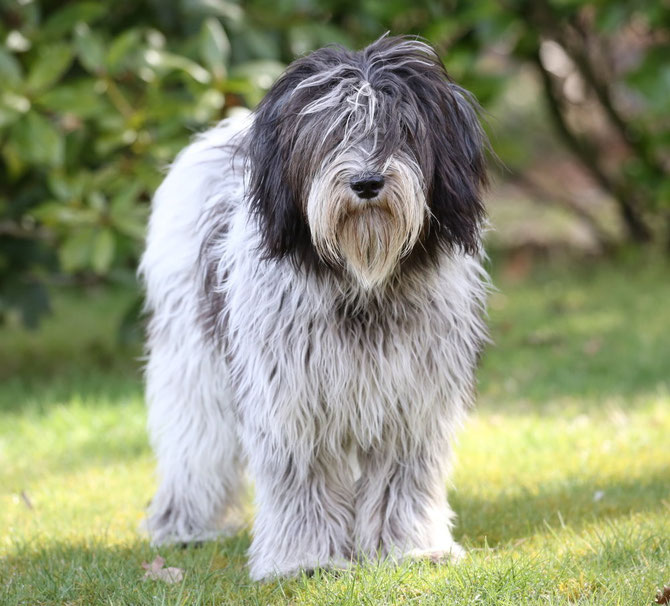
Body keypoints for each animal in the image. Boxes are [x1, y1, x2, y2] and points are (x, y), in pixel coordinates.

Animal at [140, 34, 488, 584]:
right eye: (332, 130)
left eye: (404, 129)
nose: (367, 182)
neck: (362, 283)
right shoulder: (291, 398)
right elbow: (302, 477)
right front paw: (305, 559)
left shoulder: (412, 398)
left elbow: (404, 476)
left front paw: (408, 546)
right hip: (194, 358)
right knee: (195, 440)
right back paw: (182, 525)